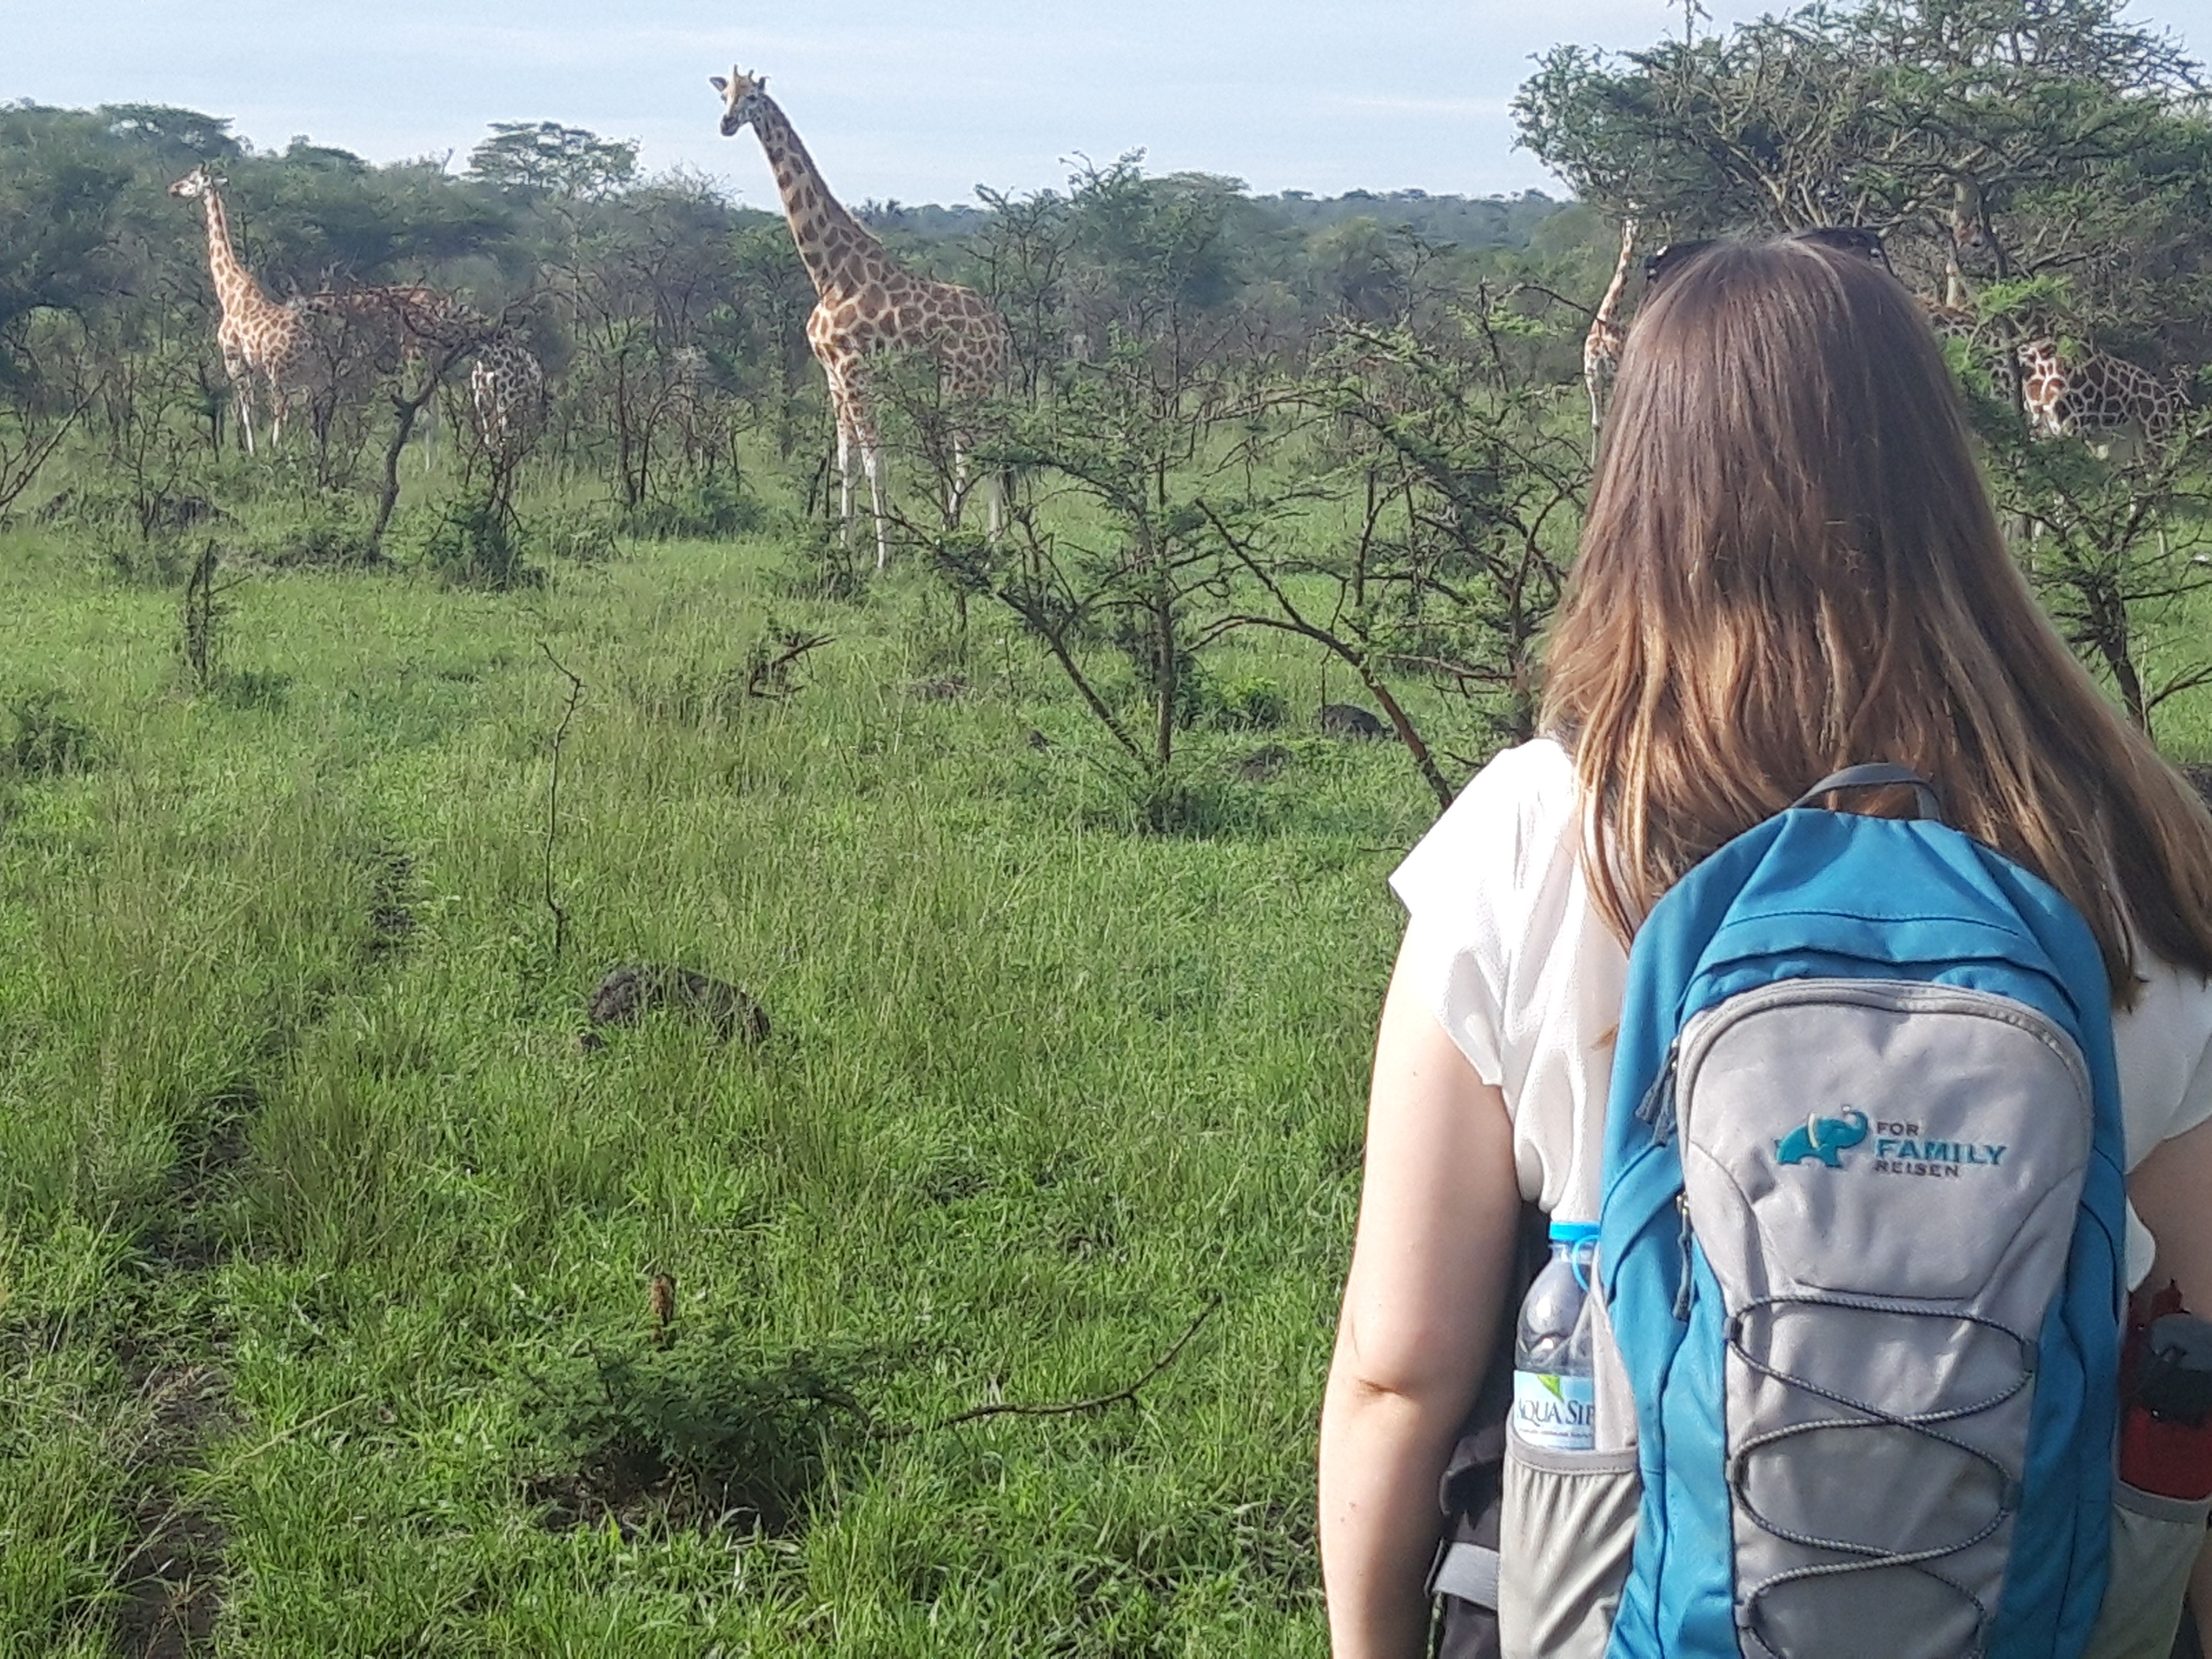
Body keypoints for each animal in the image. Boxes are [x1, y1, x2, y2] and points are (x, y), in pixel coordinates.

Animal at [168, 168, 312, 456]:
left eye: (191, 180)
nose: (173, 188)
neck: (229, 293)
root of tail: (305, 340)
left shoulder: (233, 359)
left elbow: (246, 409)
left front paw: (252, 450)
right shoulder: (250, 365)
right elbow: (250, 407)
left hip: (277, 367)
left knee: (280, 404)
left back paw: (278, 447)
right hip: (301, 369)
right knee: (307, 401)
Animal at [708, 66, 1013, 570]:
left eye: (753, 98)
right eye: (724, 96)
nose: (727, 124)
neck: (828, 272)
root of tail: (1001, 332)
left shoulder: (855, 369)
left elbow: (875, 461)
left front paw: (884, 561)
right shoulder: (832, 373)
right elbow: (846, 462)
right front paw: (843, 547)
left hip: (965, 384)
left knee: (976, 455)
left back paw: (972, 548)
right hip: (972, 386)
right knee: (983, 454)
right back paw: (979, 545)